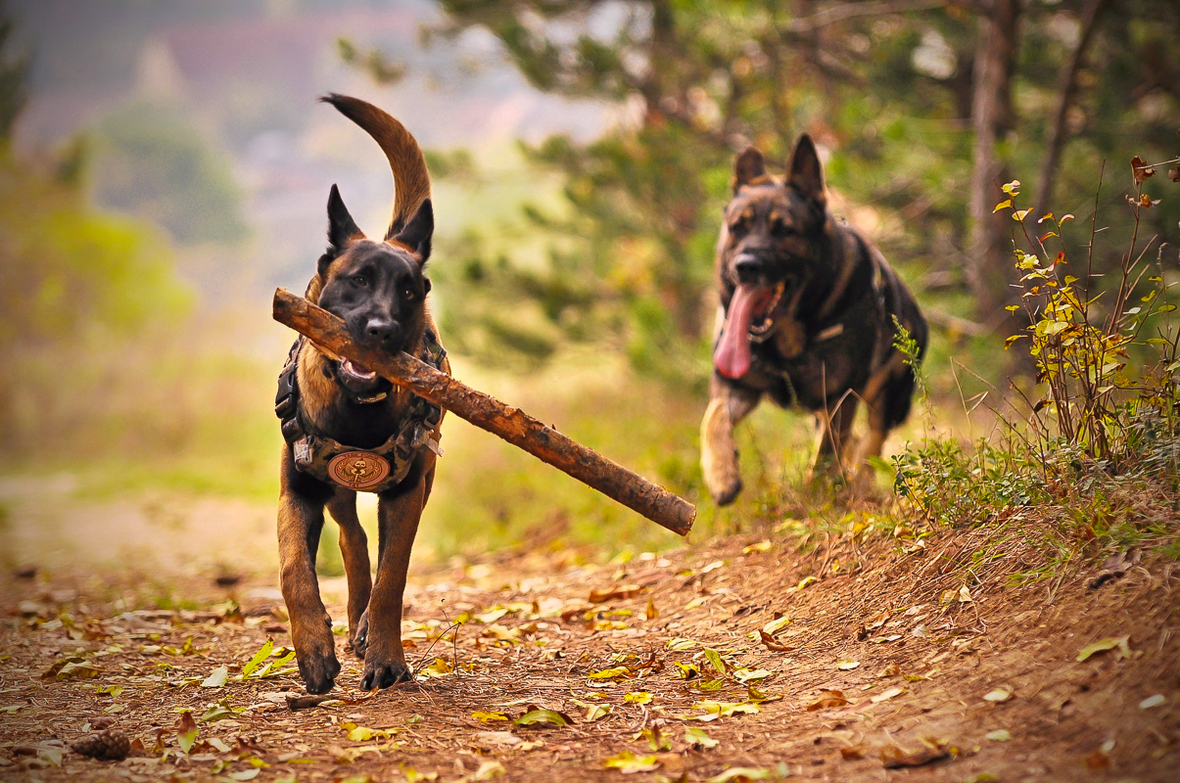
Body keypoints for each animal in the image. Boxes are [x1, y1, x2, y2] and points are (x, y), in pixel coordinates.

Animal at [276, 94, 446, 693]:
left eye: (409, 291)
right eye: (358, 280)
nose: (382, 331)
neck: (357, 412)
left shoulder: (408, 493)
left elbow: (394, 576)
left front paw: (387, 656)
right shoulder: (298, 489)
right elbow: (294, 569)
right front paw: (313, 650)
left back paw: (366, 628)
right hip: (334, 489)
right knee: (351, 538)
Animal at [693, 135, 925, 504]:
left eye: (784, 230)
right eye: (737, 228)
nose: (745, 266)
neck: (785, 339)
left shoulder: (840, 398)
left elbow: (825, 456)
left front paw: (817, 496)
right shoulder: (736, 386)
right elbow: (712, 418)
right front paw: (721, 473)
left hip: (888, 397)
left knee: (871, 443)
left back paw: (859, 483)